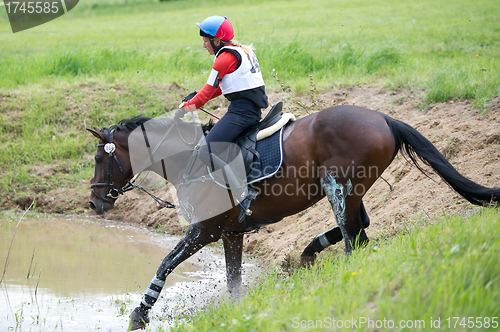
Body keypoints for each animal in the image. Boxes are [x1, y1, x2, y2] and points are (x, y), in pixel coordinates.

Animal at [87, 104, 500, 330]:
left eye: (97, 158)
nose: (93, 203)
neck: (187, 158)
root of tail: (382, 117)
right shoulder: (231, 233)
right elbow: (233, 281)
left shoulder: (205, 230)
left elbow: (166, 263)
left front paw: (139, 315)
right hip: (351, 190)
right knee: (359, 230)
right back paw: (308, 253)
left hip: (339, 186)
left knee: (354, 237)